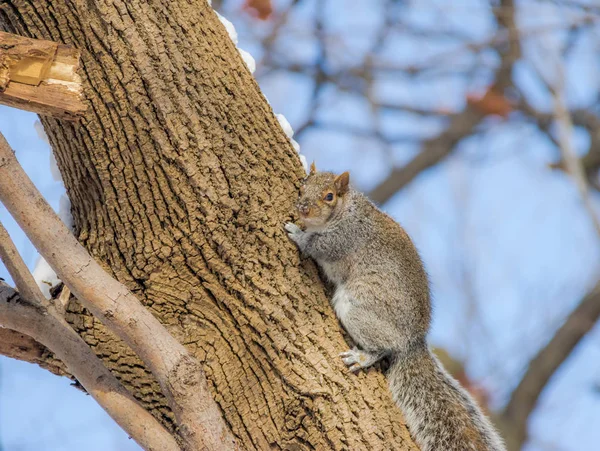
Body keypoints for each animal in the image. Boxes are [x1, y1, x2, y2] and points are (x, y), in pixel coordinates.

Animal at [286, 164, 506, 451]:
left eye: (329, 196)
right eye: (303, 184)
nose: (303, 209)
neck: (347, 211)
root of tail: (412, 341)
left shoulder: (342, 239)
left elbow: (316, 245)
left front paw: (297, 233)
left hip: (356, 309)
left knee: (384, 347)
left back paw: (363, 357)